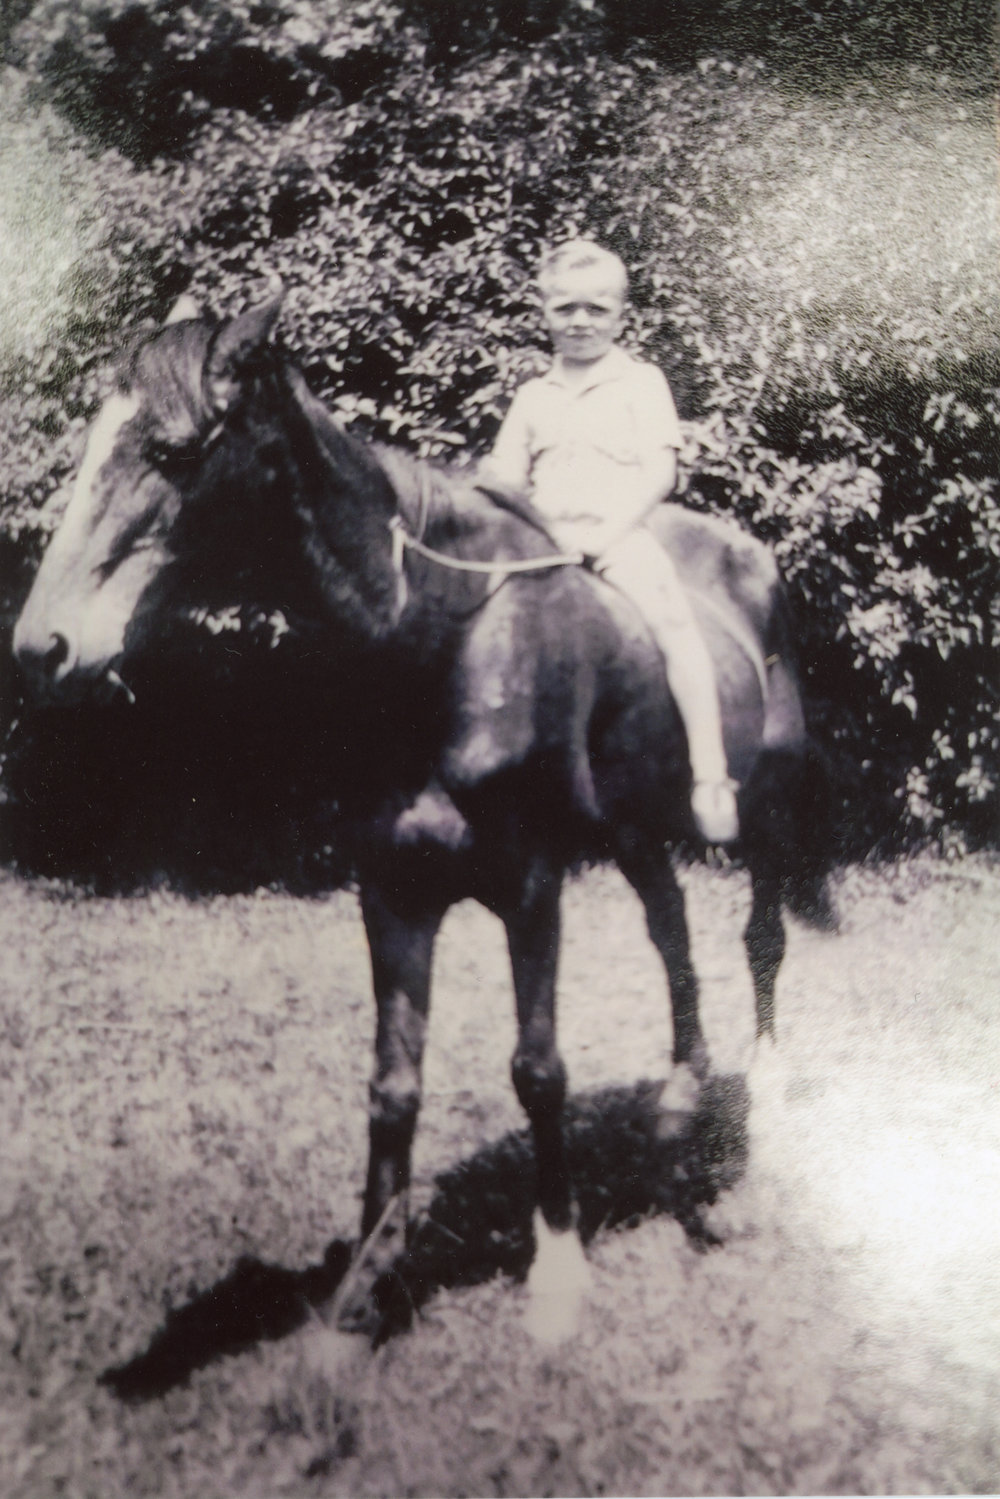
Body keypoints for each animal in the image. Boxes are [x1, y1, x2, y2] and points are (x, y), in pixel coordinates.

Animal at [13, 295, 822, 1339]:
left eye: (173, 449)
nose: (43, 646)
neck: (442, 639)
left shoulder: (531, 885)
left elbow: (537, 1068)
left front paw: (557, 1273)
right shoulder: (392, 890)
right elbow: (391, 1087)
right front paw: (365, 1286)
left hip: (767, 807)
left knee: (761, 932)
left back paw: (760, 1084)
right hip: (634, 830)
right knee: (671, 926)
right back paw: (680, 1095)